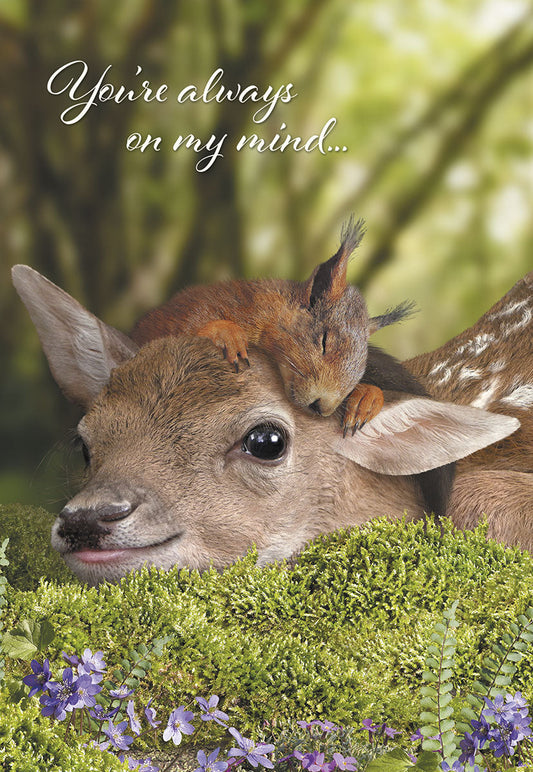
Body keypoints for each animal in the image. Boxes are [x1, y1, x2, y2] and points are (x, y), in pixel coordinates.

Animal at [131, 217, 415, 435]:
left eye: (362, 365)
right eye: (323, 341)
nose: (322, 406)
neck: (266, 310)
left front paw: (366, 395)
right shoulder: (195, 309)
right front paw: (226, 333)